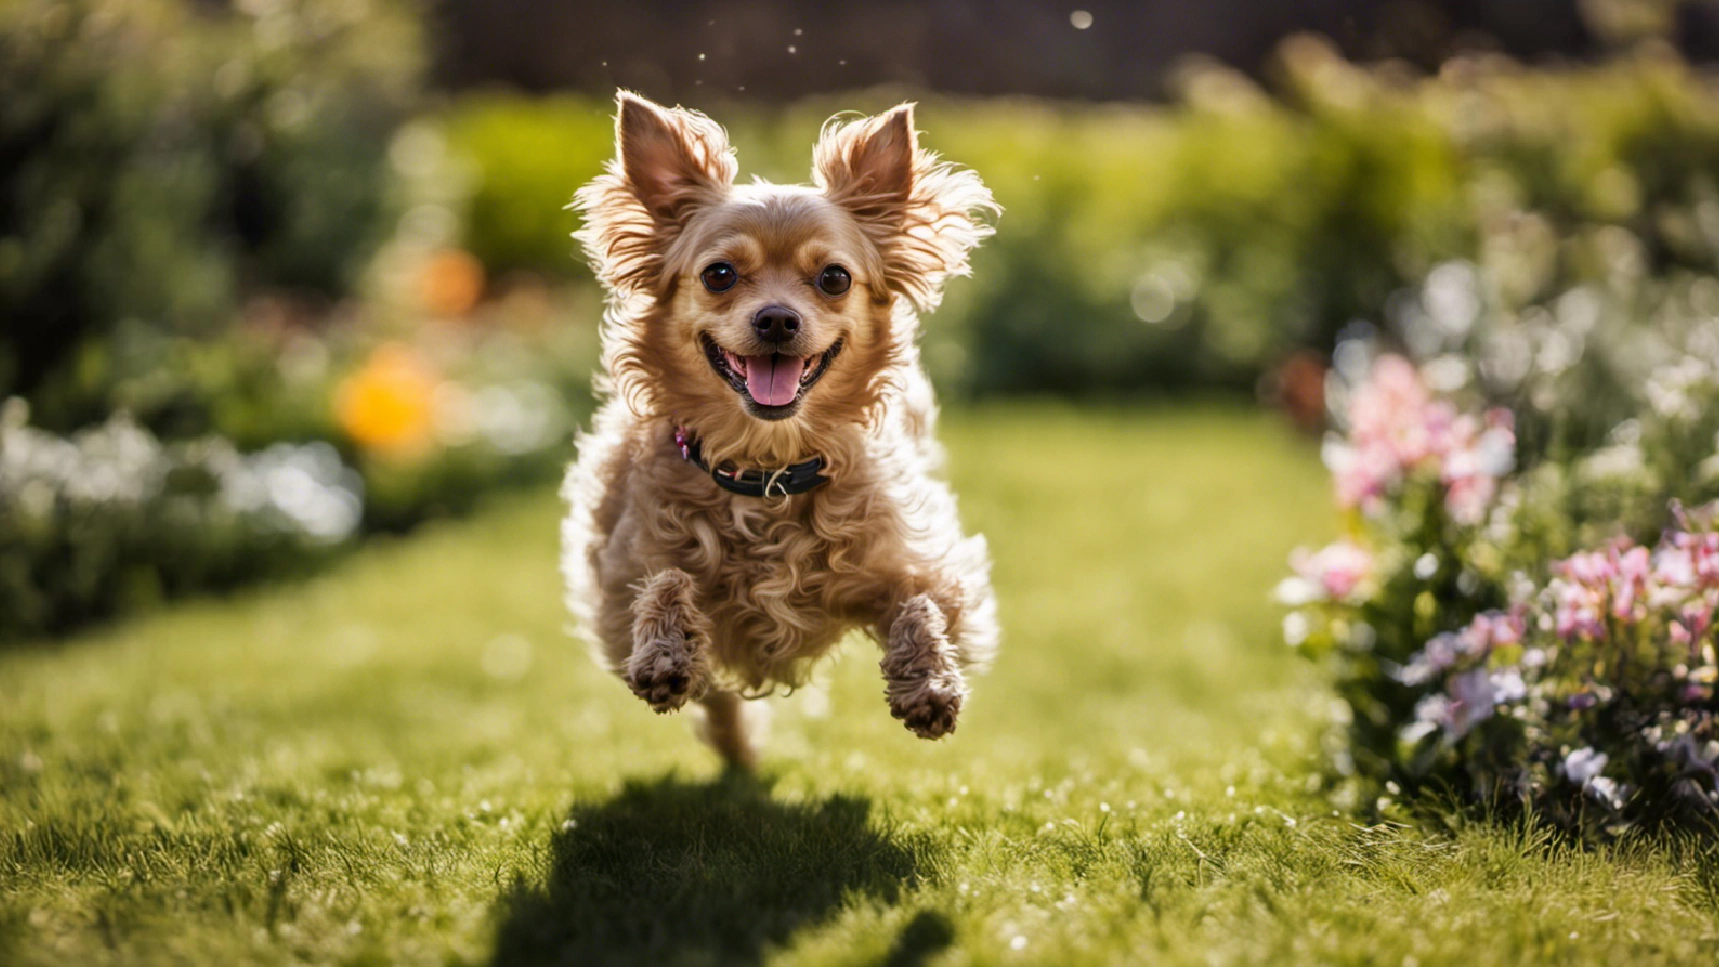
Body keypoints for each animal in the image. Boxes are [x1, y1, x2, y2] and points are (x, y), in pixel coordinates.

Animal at [556, 92, 1003, 772]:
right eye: (718, 274)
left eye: (834, 278)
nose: (775, 319)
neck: (767, 470)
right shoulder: (617, 589)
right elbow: (665, 580)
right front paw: (665, 650)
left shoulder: (937, 573)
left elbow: (919, 602)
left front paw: (927, 682)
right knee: (719, 702)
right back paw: (734, 748)